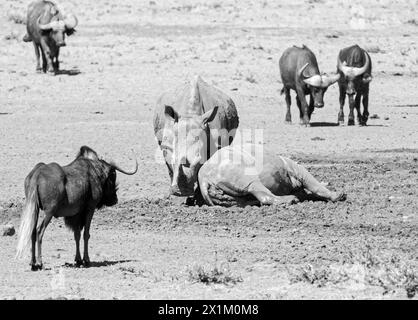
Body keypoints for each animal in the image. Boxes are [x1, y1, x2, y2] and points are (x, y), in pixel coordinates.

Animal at [198, 143, 346, 208]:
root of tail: (205, 178)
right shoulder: (296, 169)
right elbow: (314, 184)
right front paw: (337, 195)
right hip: (235, 169)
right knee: (253, 185)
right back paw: (291, 200)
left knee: (241, 198)